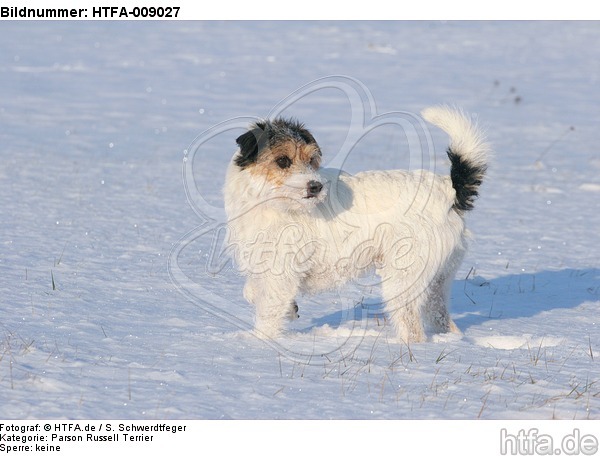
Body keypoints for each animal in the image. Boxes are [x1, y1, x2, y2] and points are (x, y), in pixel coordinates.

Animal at [223, 106, 490, 342]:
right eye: (282, 160)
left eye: (311, 160)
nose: (315, 187)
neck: (271, 202)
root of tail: (448, 189)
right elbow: (251, 291)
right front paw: (290, 310)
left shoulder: (280, 275)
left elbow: (268, 312)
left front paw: (259, 343)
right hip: (437, 281)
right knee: (441, 318)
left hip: (402, 278)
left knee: (413, 329)